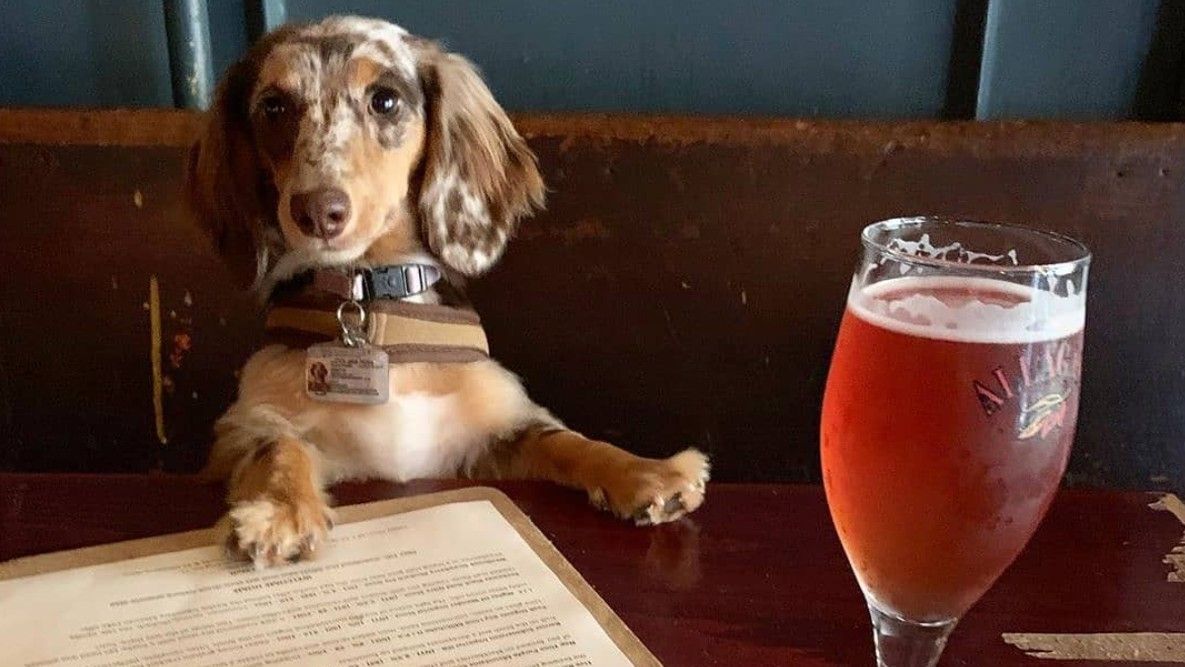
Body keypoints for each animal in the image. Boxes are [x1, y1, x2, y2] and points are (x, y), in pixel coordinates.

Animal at [183, 16, 701, 568]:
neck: (375, 309)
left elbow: (566, 439)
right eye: (274, 107)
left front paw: (651, 474)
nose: (319, 211)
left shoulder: (494, 428)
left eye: (385, 100)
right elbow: (279, 447)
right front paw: (279, 513)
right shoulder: (241, 429)